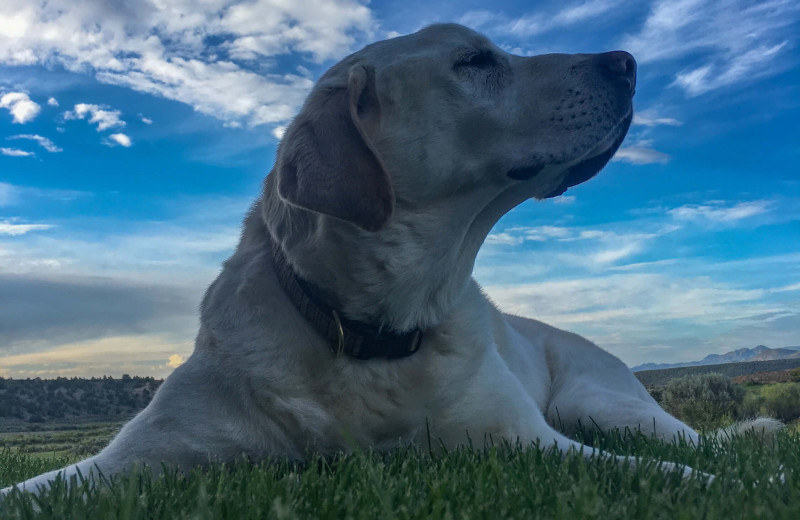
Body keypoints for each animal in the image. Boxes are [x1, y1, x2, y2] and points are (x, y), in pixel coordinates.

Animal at [4, 23, 768, 496]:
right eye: (475, 61)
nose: (628, 62)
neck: (373, 328)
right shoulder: (136, 457)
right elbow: (34, 488)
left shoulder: (529, 439)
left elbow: (677, 476)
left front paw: (753, 487)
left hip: (603, 403)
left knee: (700, 444)